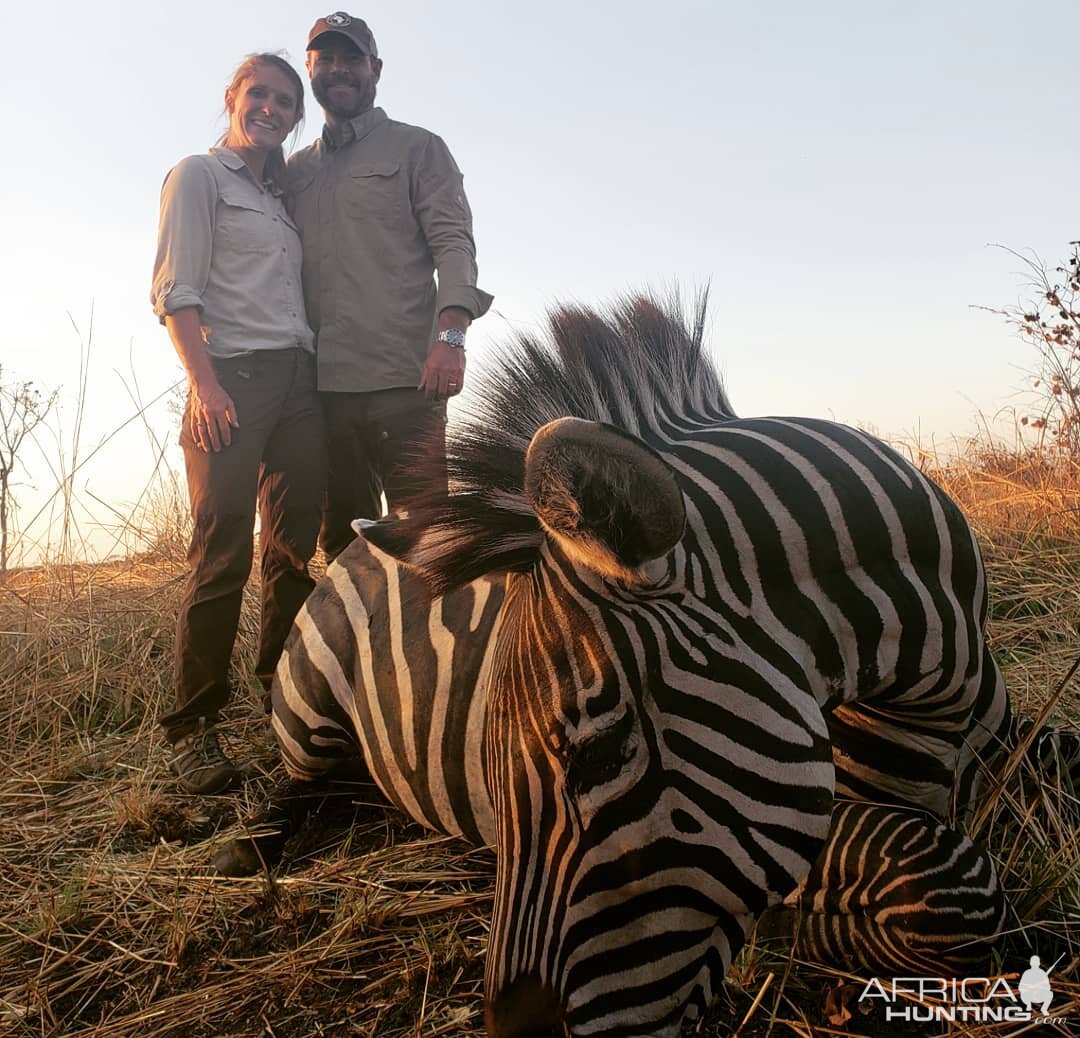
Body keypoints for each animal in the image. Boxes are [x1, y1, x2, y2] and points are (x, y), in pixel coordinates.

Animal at [214, 291, 1049, 1036]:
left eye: (602, 751)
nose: (519, 1034)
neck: (935, 691)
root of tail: (363, 543)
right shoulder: (813, 821)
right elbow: (950, 883)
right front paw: (805, 947)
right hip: (310, 710)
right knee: (294, 785)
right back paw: (246, 850)